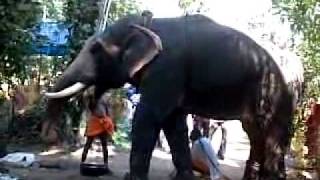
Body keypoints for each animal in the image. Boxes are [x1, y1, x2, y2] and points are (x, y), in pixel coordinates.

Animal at [42, 10, 302, 179]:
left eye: (96, 49)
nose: (49, 138)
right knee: (256, 135)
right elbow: (173, 123)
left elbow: (148, 118)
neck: (149, 22)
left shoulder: (167, 68)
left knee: (271, 137)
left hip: (280, 94)